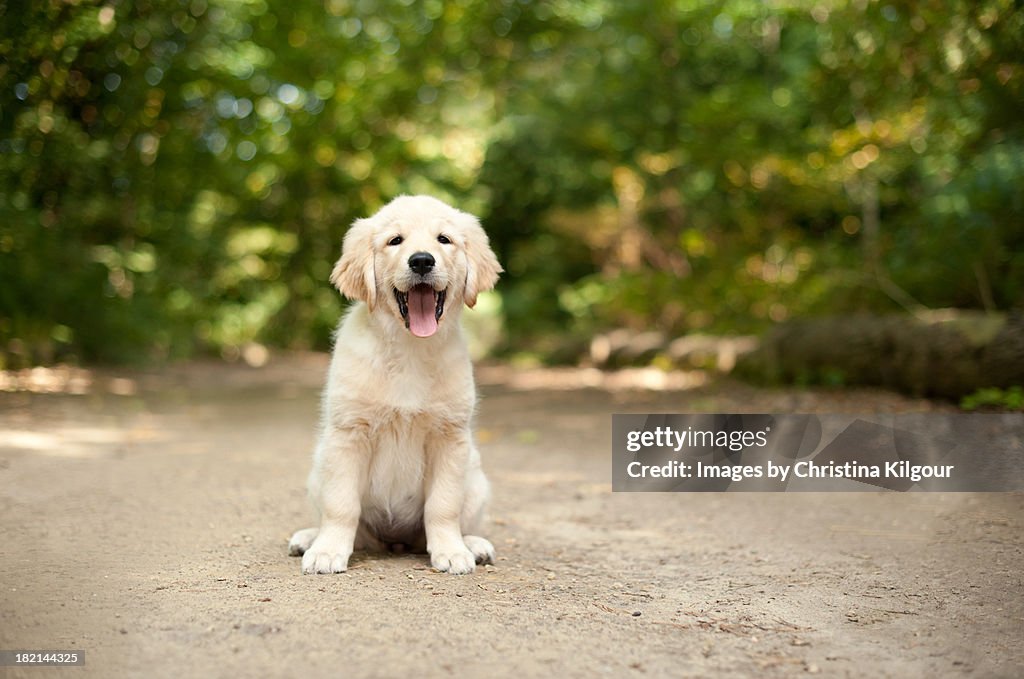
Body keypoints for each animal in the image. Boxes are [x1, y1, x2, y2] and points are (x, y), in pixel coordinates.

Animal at [286, 195, 501, 573]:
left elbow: (443, 505)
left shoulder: (450, 437)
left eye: (444, 239)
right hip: (318, 467)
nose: (422, 260)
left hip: (476, 477)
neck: (409, 348)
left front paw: (451, 551)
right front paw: (327, 550)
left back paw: (473, 544)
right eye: (395, 241)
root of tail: (394, 542)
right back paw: (309, 538)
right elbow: (341, 505)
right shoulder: (348, 434)